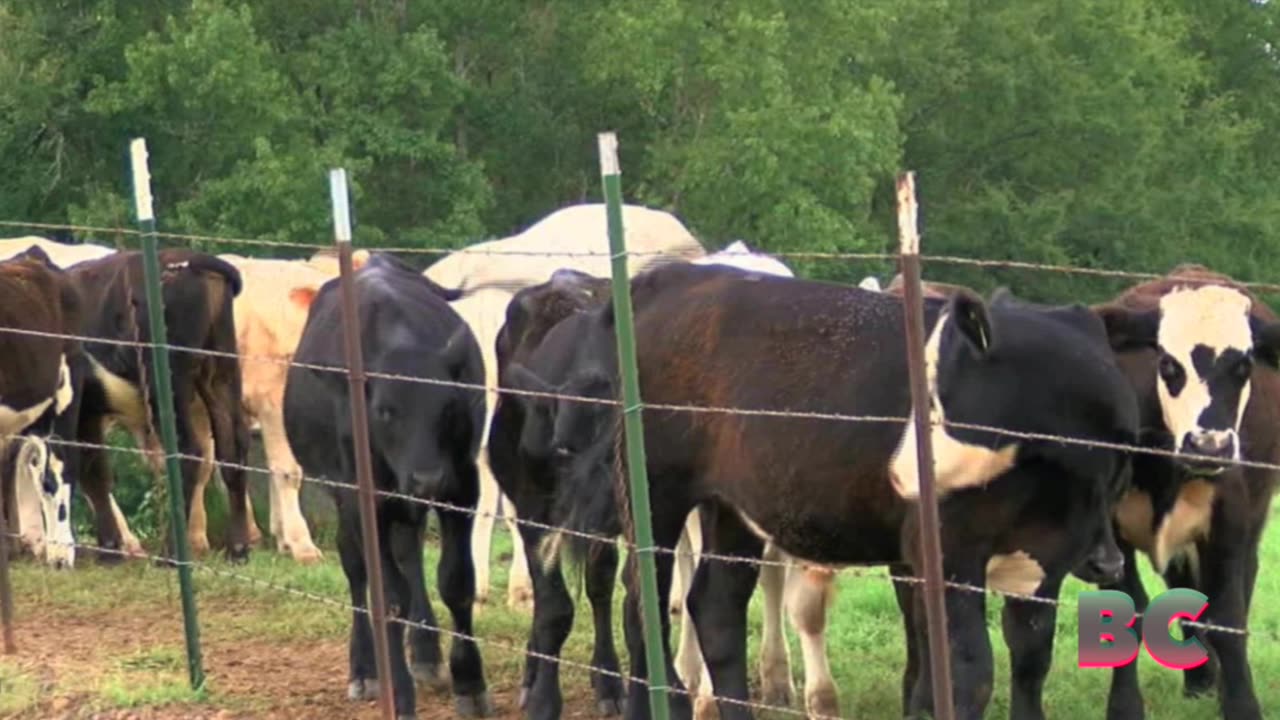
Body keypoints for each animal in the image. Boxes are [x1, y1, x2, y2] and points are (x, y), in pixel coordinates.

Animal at [64, 245, 252, 561]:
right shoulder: (87, 412)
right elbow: (95, 474)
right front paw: (110, 549)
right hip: (221, 371)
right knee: (232, 448)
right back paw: (238, 549)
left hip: (166, 383)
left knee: (189, 451)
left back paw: (170, 553)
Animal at [282, 249, 491, 712]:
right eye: (384, 411)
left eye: (449, 407)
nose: (427, 477)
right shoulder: (363, 498)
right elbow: (388, 596)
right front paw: (399, 691)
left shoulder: (462, 486)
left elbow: (455, 581)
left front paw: (470, 683)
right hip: (344, 495)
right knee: (357, 567)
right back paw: (365, 669)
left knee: (408, 555)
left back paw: (427, 654)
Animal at [514, 262, 1146, 717]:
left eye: (1119, 446)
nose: (906, 469)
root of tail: (668, 279)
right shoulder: (949, 550)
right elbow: (969, 670)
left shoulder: (1046, 558)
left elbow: (1029, 660)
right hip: (656, 488)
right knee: (641, 600)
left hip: (730, 507)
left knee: (715, 609)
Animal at [1090, 263, 1280, 717]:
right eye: (1167, 363)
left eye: (1244, 365)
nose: (1208, 444)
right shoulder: (1109, 532)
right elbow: (1127, 611)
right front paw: (1125, 706)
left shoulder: (1228, 523)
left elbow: (1228, 618)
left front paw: (1242, 704)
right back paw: (1199, 680)